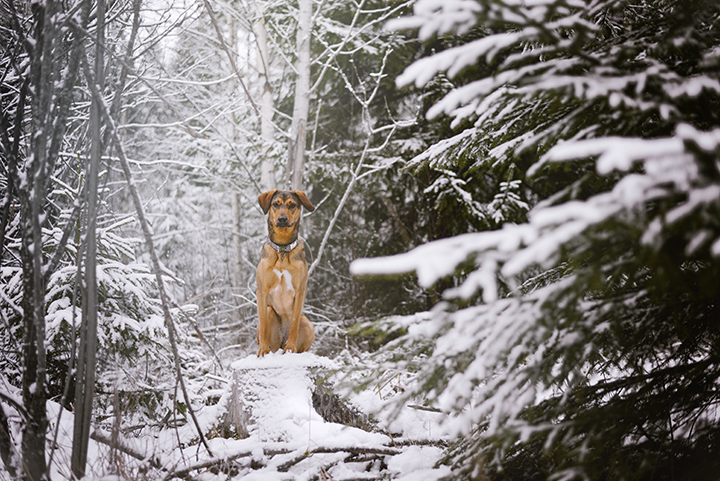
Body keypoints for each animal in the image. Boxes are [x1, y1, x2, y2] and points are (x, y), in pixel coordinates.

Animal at [258, 188, 316, 356]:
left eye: (292, 205)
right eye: (275, 204)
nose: (282, 219)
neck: (282, 249)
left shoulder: (300, 289)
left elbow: (294, 323)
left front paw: (290, 347)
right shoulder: (262, 291)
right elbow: (263, 324)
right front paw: (263, 350)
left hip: (308, 324)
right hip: (270, 312)